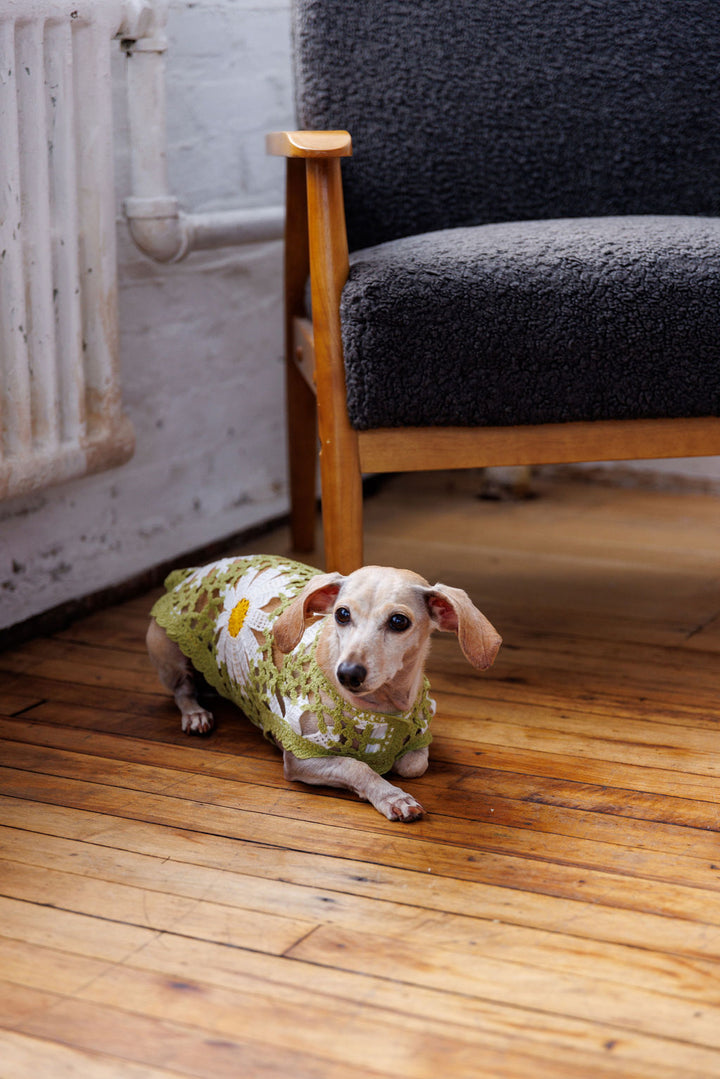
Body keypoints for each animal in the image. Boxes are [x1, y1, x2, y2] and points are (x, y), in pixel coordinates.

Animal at [146, 556, 500, 815]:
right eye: (341, 614)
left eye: (399, 621)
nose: (349, 674)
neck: (382, 704)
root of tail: (193, 572)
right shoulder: (301, 756)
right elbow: (356, 766)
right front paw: (391, 795)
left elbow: (413, 763)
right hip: (170, 655)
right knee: (183, 691)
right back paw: (195, 714)